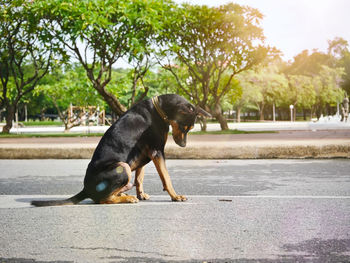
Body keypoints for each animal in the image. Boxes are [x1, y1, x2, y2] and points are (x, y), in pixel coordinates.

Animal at [31, 94, 211, 207]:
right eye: (184, 127)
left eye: (190, 128)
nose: (183, 146)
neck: (158, 109)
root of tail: (86, 189)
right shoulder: (157, 151)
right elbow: (166, 178)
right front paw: (175, 196)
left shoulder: (145, 153)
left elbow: (139, 178)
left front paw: (141, 194)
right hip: (122, 166)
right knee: (102, 200)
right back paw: (127, 198)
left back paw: (125, 194)